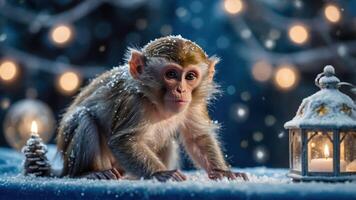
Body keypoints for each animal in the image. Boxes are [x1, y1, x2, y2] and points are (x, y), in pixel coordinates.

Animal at [57, 35, 249, 181]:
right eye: (171, 74)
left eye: (190, 76)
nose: (181, 90)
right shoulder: (134, 103)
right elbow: (124, 142)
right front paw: (161, 174)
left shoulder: (194, 104)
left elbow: (198, 138)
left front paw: (222, 172)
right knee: (84, 118)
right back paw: (88, 172)